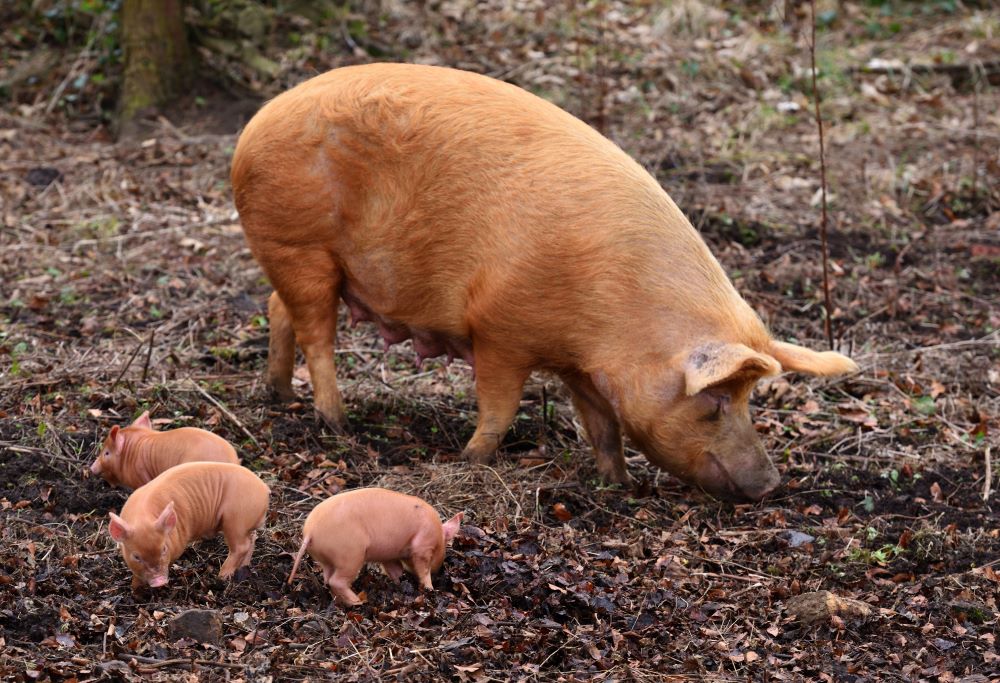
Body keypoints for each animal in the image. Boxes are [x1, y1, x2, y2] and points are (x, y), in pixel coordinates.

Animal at [108, 462, 270, 592]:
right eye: (136, 556)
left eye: (164, 549)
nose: (159, 581)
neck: (142, 517)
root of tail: (264, 489)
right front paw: (134, 589)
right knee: (252, 538)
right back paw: (243, 567)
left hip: (236, 519)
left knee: (240, 546)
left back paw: (221, 577)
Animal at [230, 64, 856, 502]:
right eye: (717, 400)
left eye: (748, 399)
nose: (770, 485)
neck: (616, 319)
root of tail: (253, 126)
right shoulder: (500, 332)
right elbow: (500, 408)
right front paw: (470, 460)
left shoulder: (583, 367)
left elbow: (603, 426)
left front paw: (618, 485)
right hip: (300, 246)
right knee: (317, 335)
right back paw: (336, 423)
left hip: (306, 263)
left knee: (278, 309)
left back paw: (280, 395)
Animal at [288, 488, 462, 608]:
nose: (439, 571)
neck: (438, 533)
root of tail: (310, 532)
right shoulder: (422, 546)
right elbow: (423, 569)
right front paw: (430, 588)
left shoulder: (389, 555)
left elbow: (395, 570)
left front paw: (399, 583)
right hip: (350, 555)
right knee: (336, 581)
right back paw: (358, 602)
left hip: (328, 559)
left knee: (327, 579)